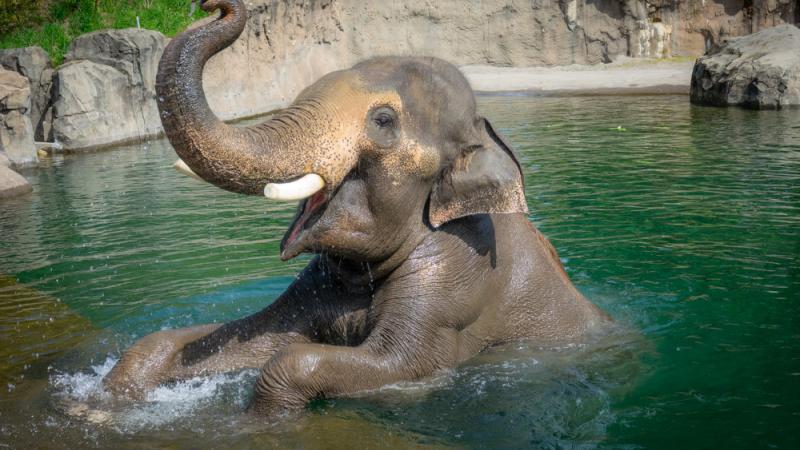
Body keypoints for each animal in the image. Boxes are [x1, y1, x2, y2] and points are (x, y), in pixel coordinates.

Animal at [103, 0, 608, 414]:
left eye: (383, 121)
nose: (216, 6)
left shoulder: (458, 282)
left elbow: (391, 362)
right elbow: (260, 335)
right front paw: (109, 398)